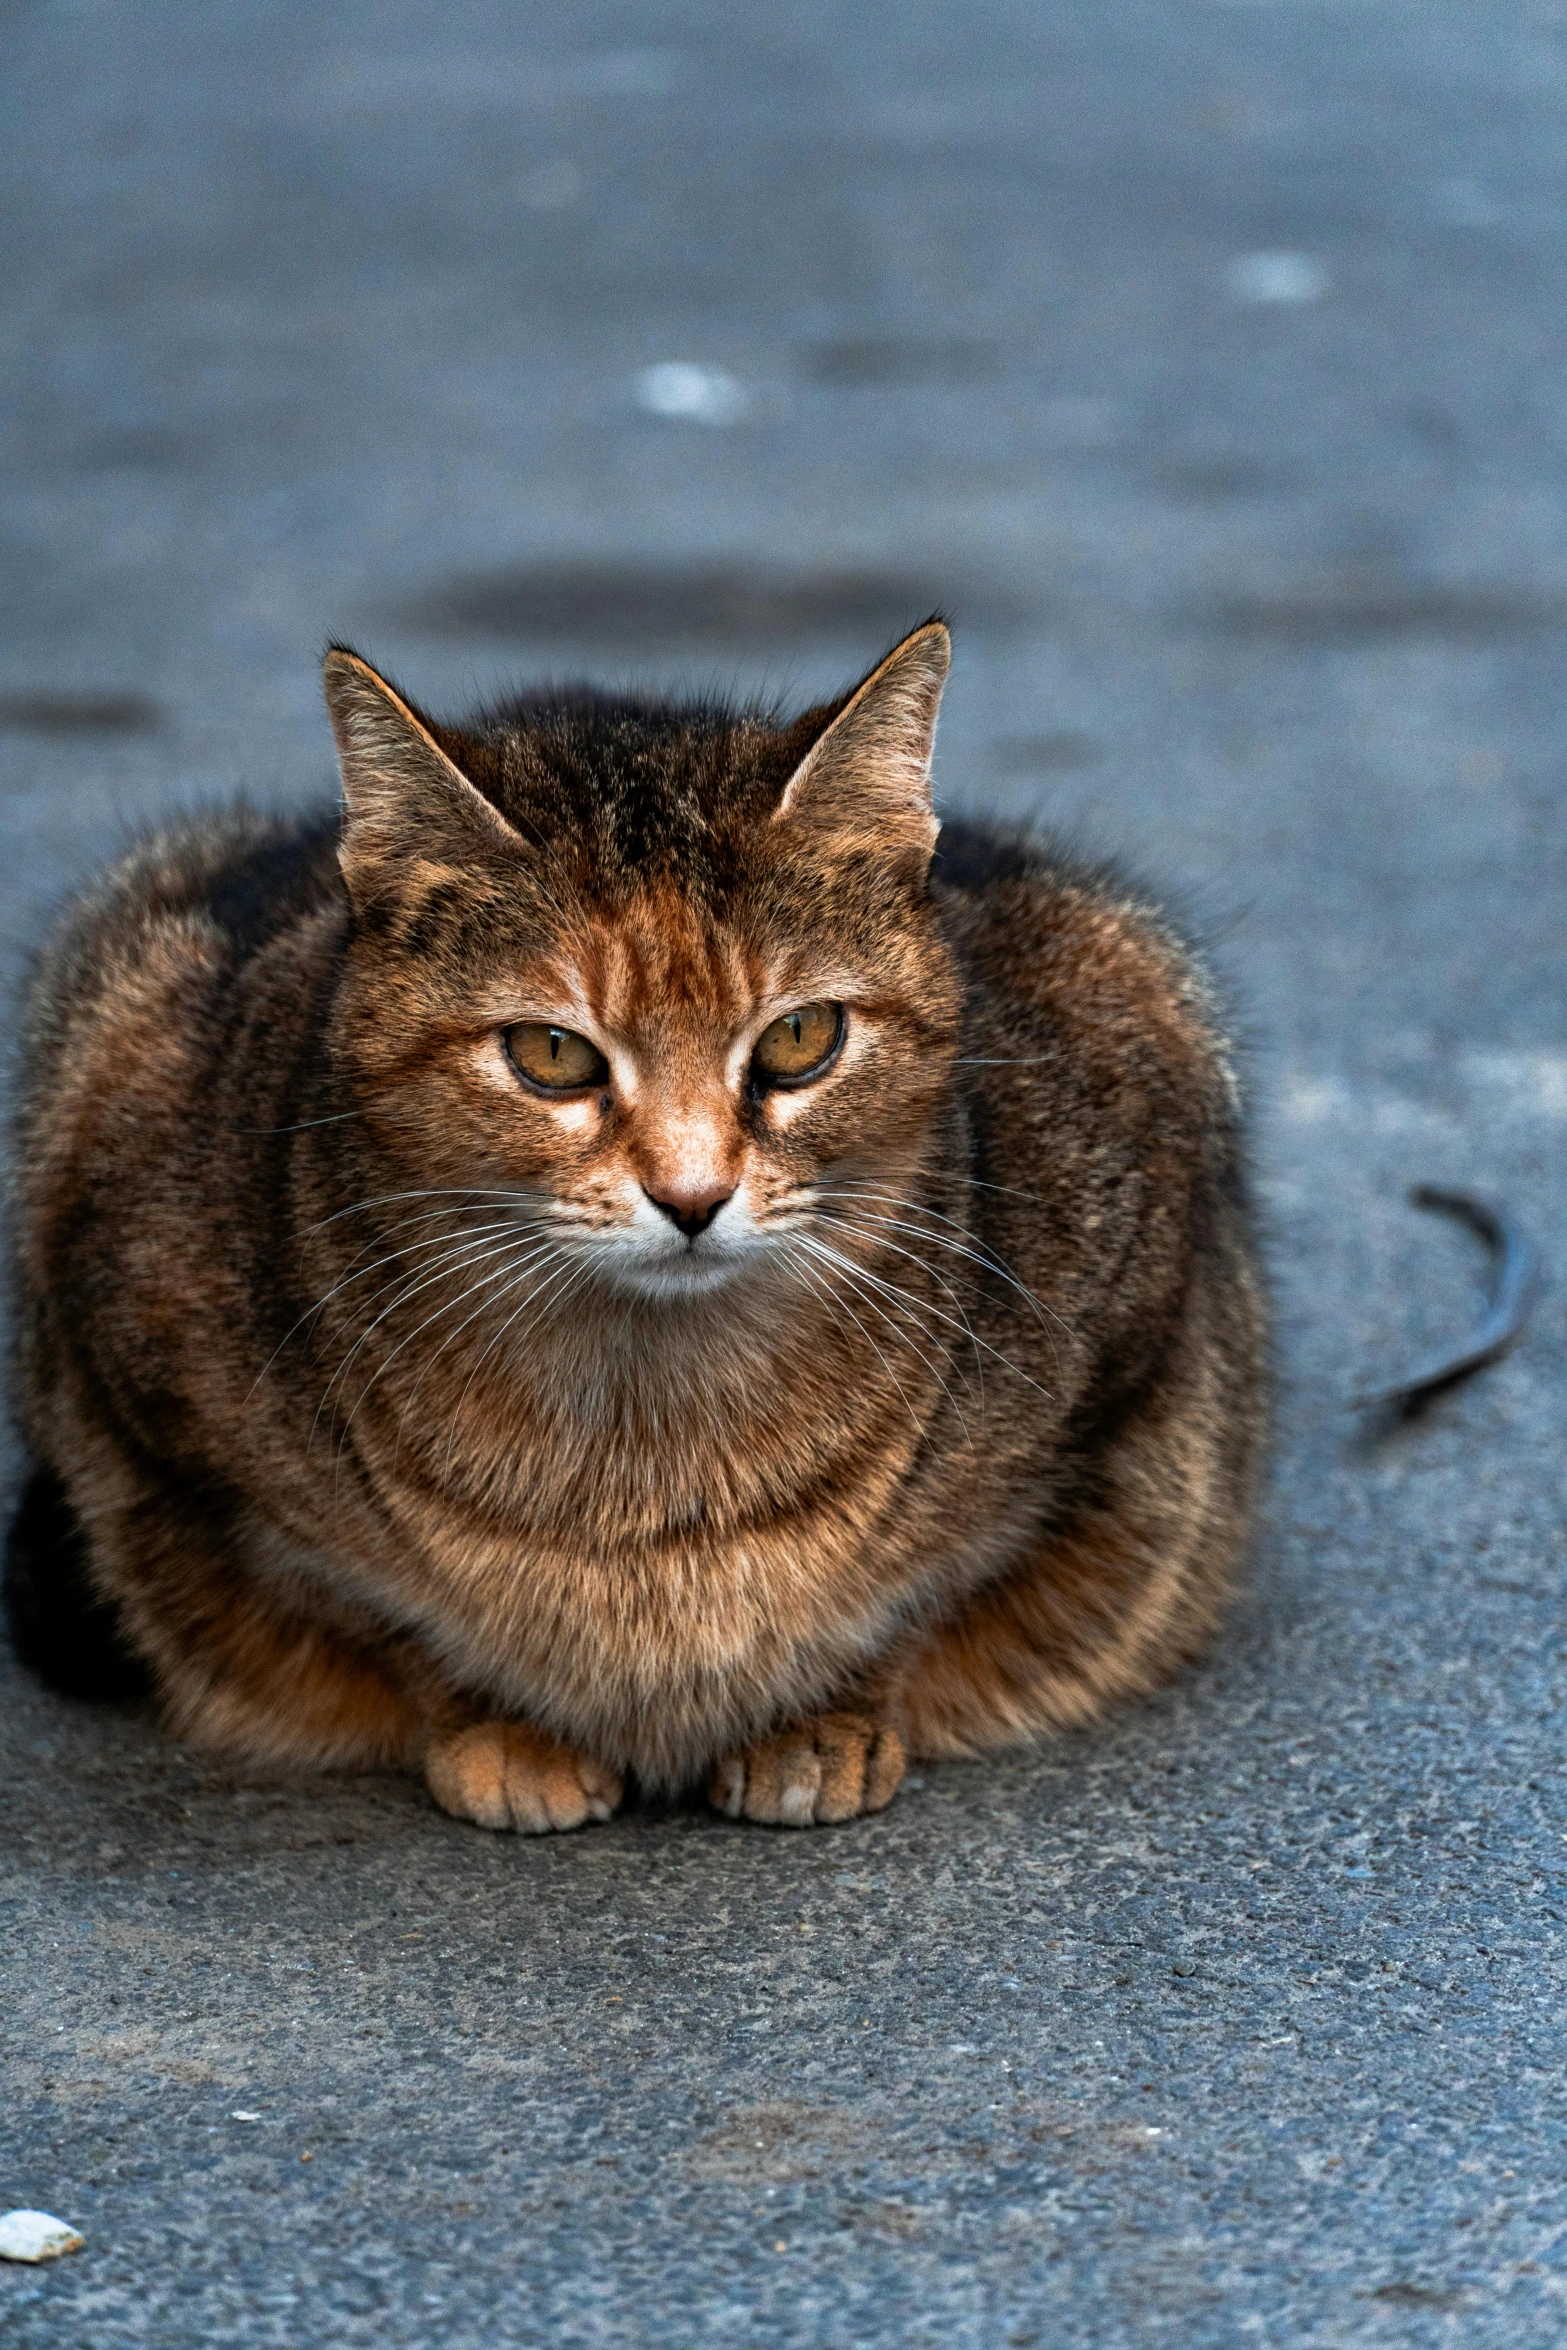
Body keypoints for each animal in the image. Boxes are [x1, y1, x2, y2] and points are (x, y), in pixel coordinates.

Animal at [6, 625, 1268, 1832]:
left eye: (800, 1036)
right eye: (552, 1053)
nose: (693, 1194)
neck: (647, 1452)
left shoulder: (1123, 1367)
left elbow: (919, 1595)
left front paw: (826, 1718)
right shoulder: (165, 1424)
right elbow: (386, 1614)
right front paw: (495, 1724)